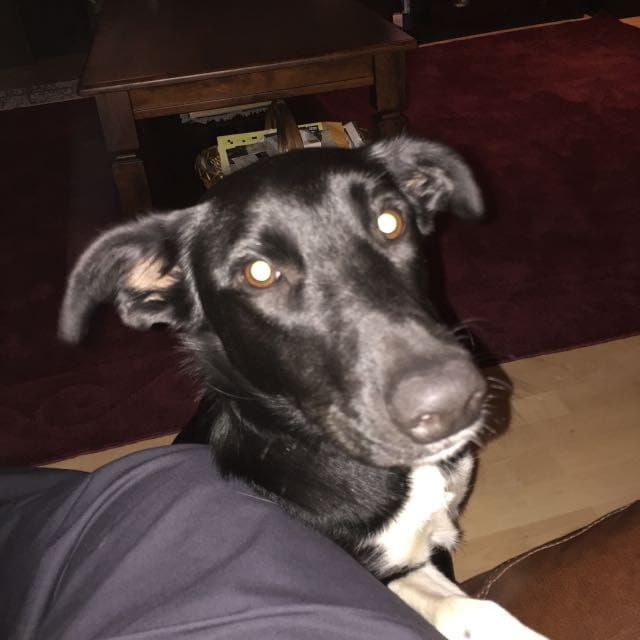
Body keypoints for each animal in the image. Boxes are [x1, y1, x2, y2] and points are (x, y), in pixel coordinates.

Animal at [59, 135, 547, 640]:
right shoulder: (378, 569)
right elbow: (456, 604)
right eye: (258, 273)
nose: (452, 403)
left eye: (390, 222)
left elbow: (476, 605)